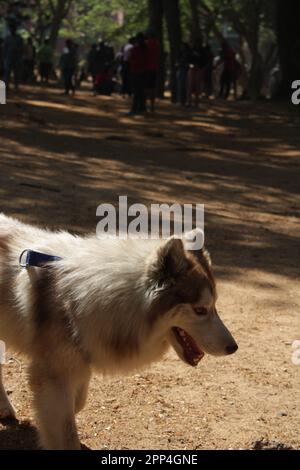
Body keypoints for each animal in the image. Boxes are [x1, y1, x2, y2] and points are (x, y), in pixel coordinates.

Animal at [0, 213, 237, 448]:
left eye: (215, 306)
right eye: (200, 310)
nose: (233, 348)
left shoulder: (78, 364)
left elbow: (78, 403)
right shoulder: (54, 377)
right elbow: (67, 432)